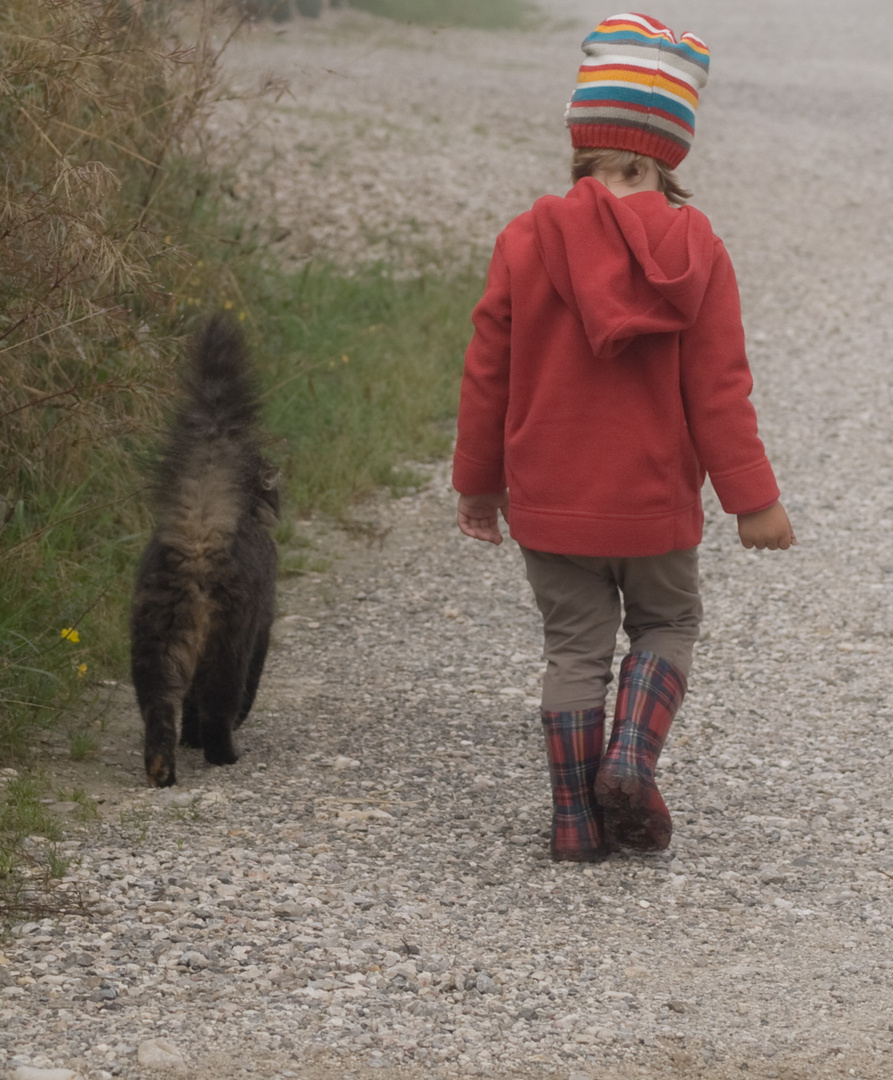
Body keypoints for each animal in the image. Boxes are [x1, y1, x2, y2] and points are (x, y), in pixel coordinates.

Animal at [129, 313, 278, 786]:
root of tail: (198, 534)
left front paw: (189, 739)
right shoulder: (260, 628)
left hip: (154, 646)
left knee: (160, 712)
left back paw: (163, 771)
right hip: (226, 646)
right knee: (218, 707)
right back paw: (225, 754)